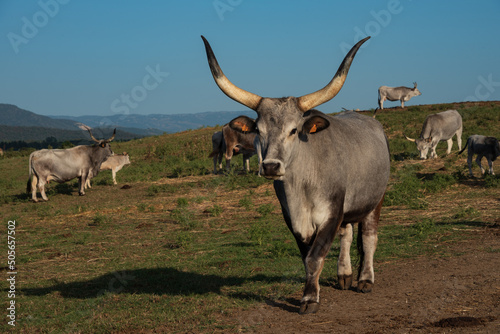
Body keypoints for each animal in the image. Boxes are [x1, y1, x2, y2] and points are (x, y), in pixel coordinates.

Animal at [201, 35, 388, 314]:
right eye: (259, 130)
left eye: (293, 130)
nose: (270, 167)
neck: (302, 188)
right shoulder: (292, 217)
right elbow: (306, 257)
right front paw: (311, 292)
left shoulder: (331, 213)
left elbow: (315, 257)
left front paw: (310, 299)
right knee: (347, 235)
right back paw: (344, 275)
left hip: (375, 200)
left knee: (369, 236)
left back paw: (365, 279)